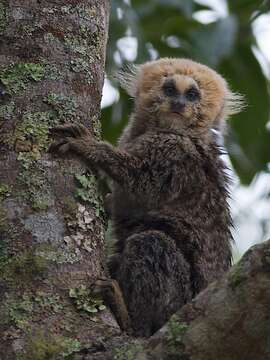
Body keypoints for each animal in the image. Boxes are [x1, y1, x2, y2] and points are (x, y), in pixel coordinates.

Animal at [49, 57, 244, 336]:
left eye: (192, 95)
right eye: (170, 90)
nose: (178, 103)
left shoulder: (174, 152)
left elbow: (141, 183)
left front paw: (91, 147)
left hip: (174, 307)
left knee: (152, 242)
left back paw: (127, 318)